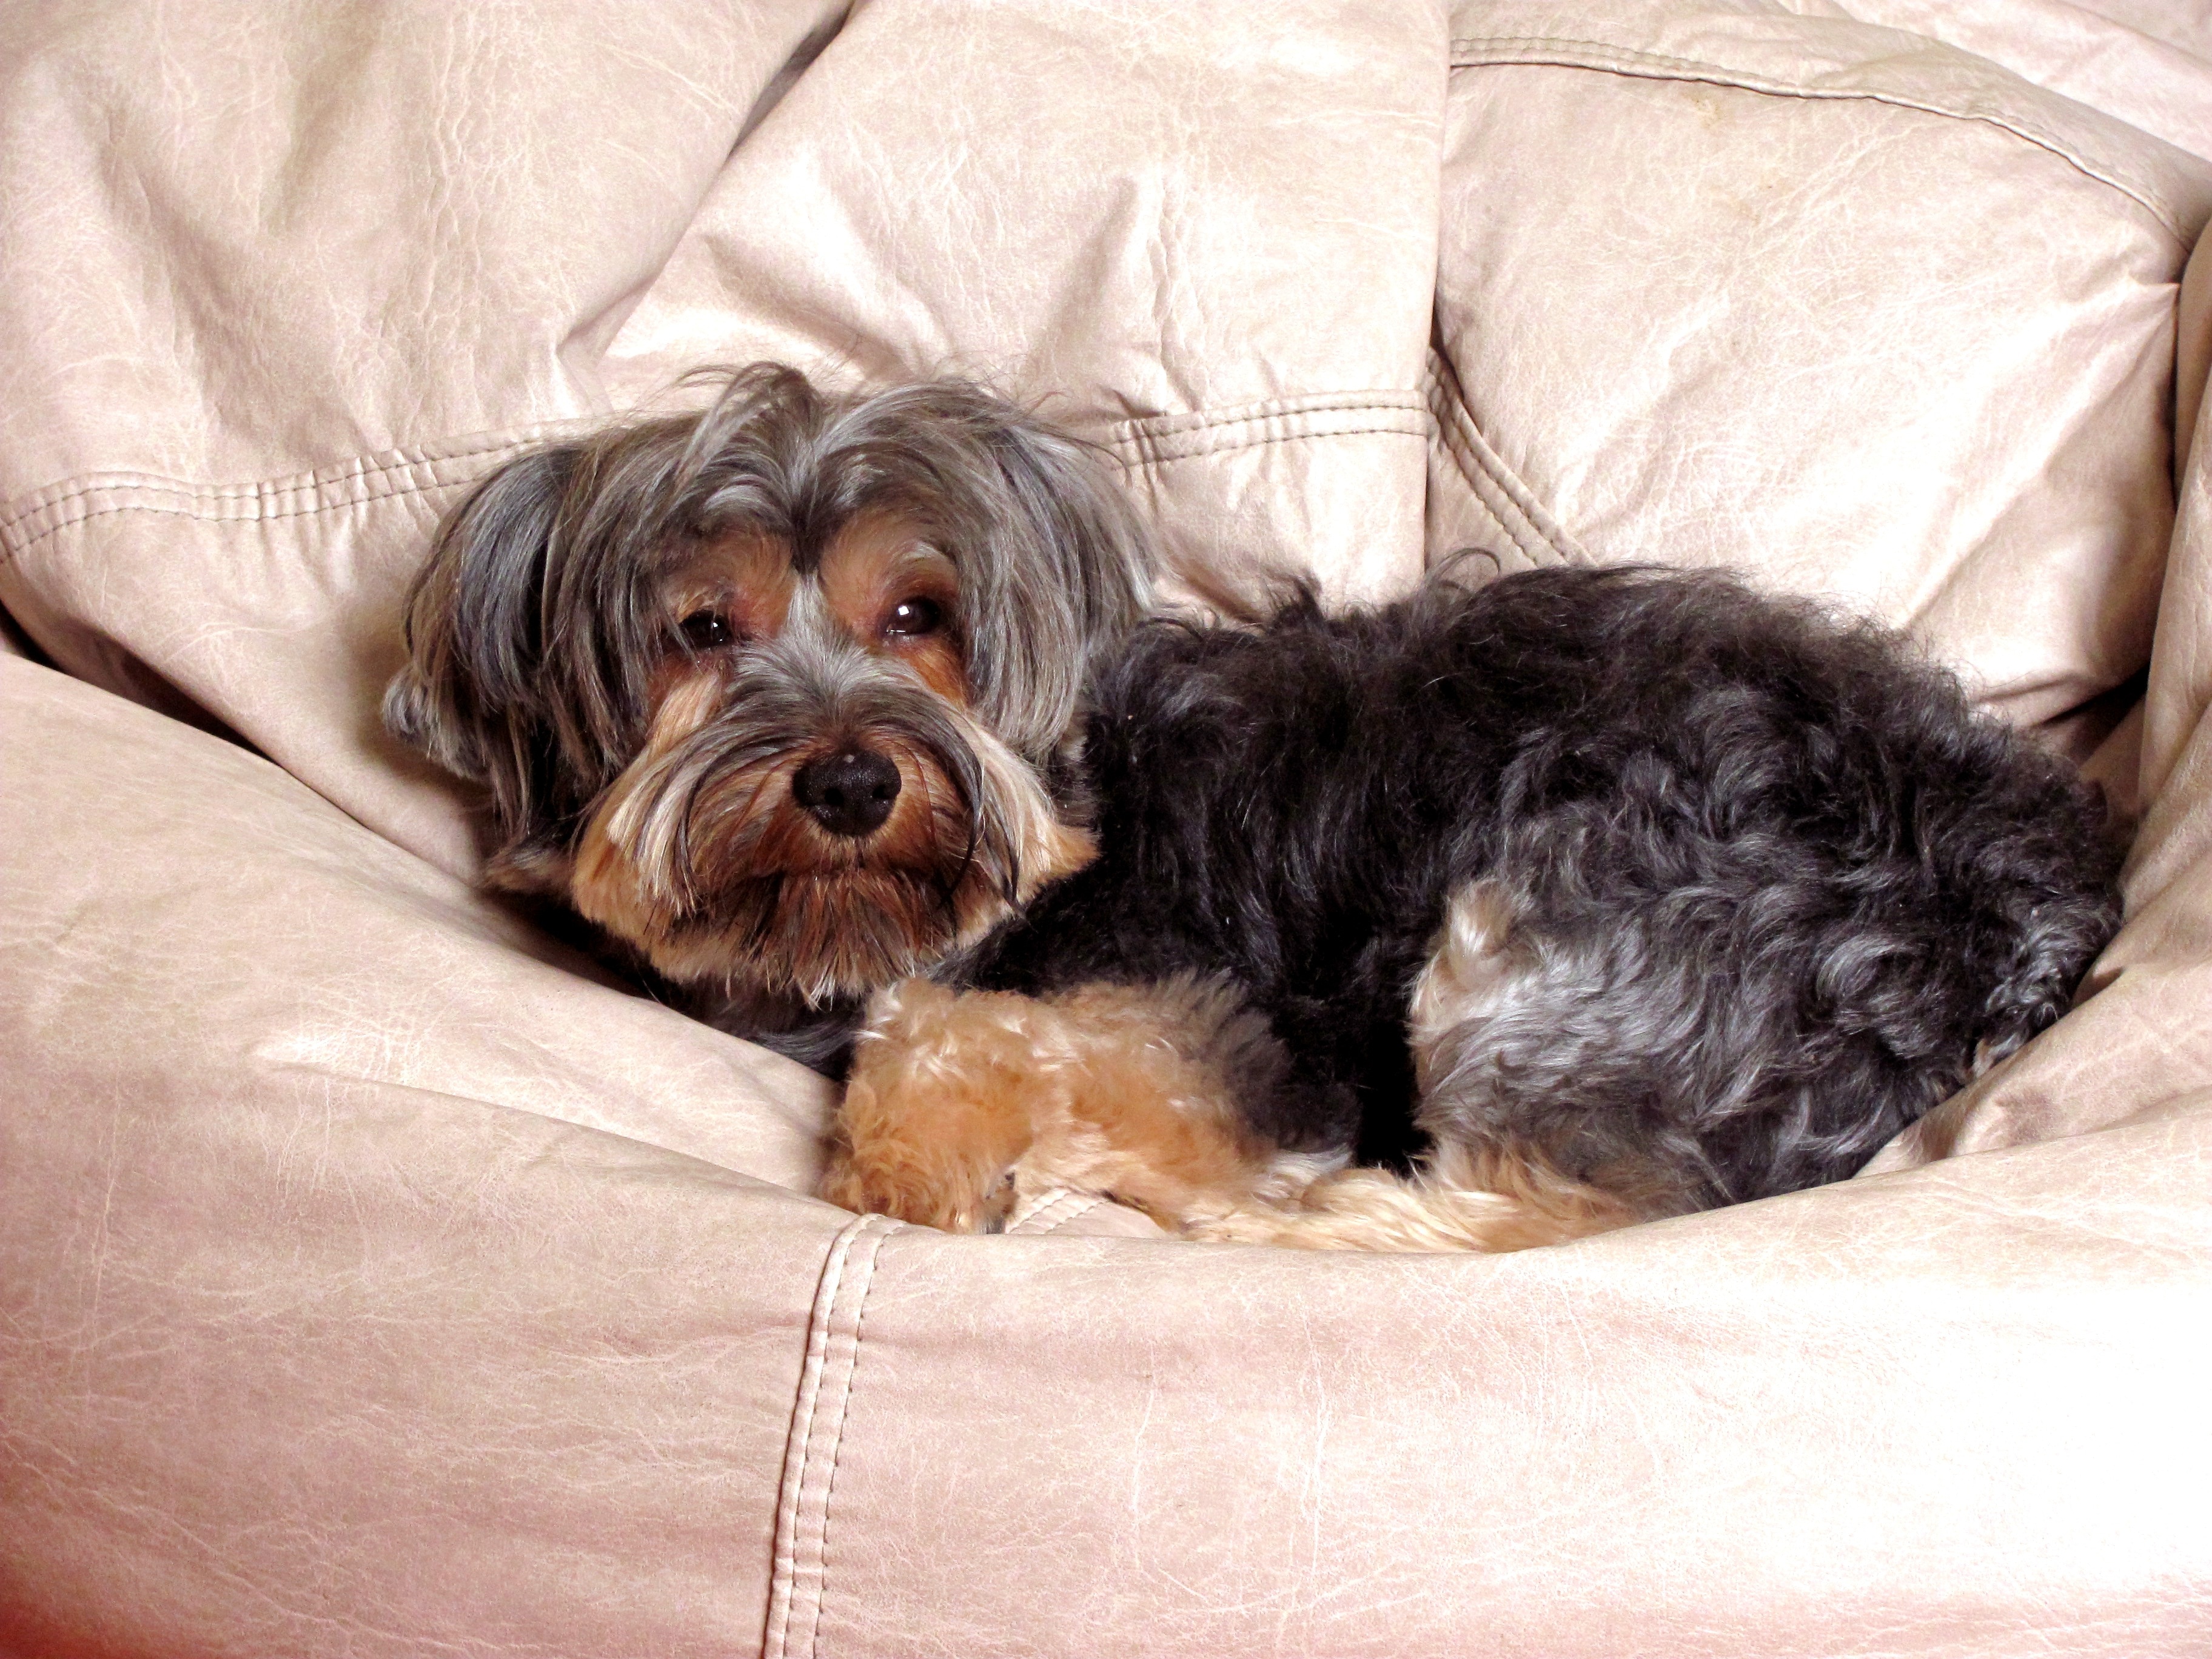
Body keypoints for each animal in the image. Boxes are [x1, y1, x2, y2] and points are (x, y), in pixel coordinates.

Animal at [389, 363, 2132, 1247]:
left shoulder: (1210, 1007)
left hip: (1577, 929)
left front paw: (918, 1167)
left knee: (1541, 1212)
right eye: (702, 629)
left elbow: (955, 1038)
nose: (850, 778)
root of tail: (2037, 914)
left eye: (917, 616)